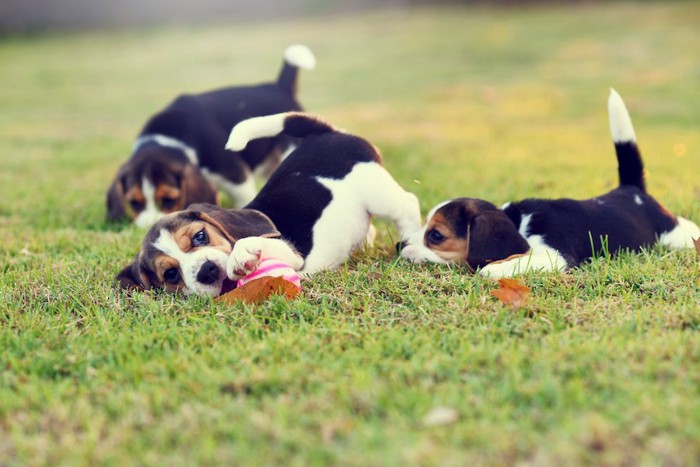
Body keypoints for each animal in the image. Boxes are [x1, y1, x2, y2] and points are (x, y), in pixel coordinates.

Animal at [106, 44, 314, 228]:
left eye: (169, 200)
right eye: (134, 203)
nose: (145, 229)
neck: (169, 140)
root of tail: (279, 87)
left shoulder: (236, 174)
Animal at [117, 112, 422, 296]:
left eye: (200, 236)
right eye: (170, 274)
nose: (207, 271)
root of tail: (325, 132)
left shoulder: (291, 254)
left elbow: (248, 242)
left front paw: (241, 254)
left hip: (376, 191)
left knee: (408, 204)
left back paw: (411, 242)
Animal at [400, 89, 700, 276]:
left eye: (436, 236)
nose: (399, 245)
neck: (518, 223)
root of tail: (631, 189)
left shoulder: (554, 256)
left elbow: (496, 268)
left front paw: (491, 269)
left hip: (675, 236)